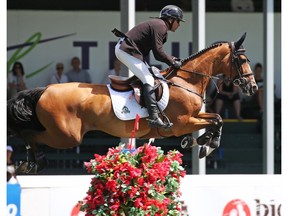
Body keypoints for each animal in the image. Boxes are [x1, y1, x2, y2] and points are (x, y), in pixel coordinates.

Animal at [7, 32, 258, 174]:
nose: (253, 87)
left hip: (61, 133)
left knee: (26, 134)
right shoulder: (182, 123)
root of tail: (44, 89)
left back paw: (29, 163)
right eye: (242, 60)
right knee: (29, 134)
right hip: (66, 136)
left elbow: (216, 119)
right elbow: (216, 120)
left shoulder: (193, 119)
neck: (186, 80)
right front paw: (208, 144)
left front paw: (201, 142)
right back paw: (34, 161)